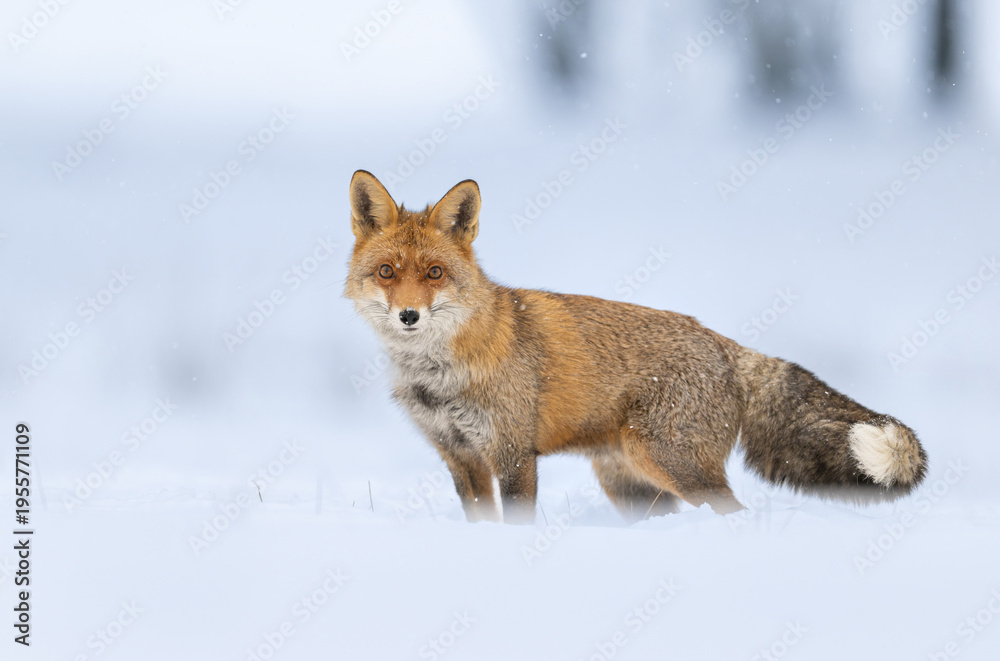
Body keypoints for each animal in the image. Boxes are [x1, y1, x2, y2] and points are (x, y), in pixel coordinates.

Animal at [344, 170, 927, 524]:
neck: (438, 374)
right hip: (632, 487)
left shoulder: (511, 455)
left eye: (435, 273)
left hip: (674, 463)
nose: (409, 315)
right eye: (388, 272)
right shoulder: (459, 457)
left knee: (734, 511)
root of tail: (722, 342)